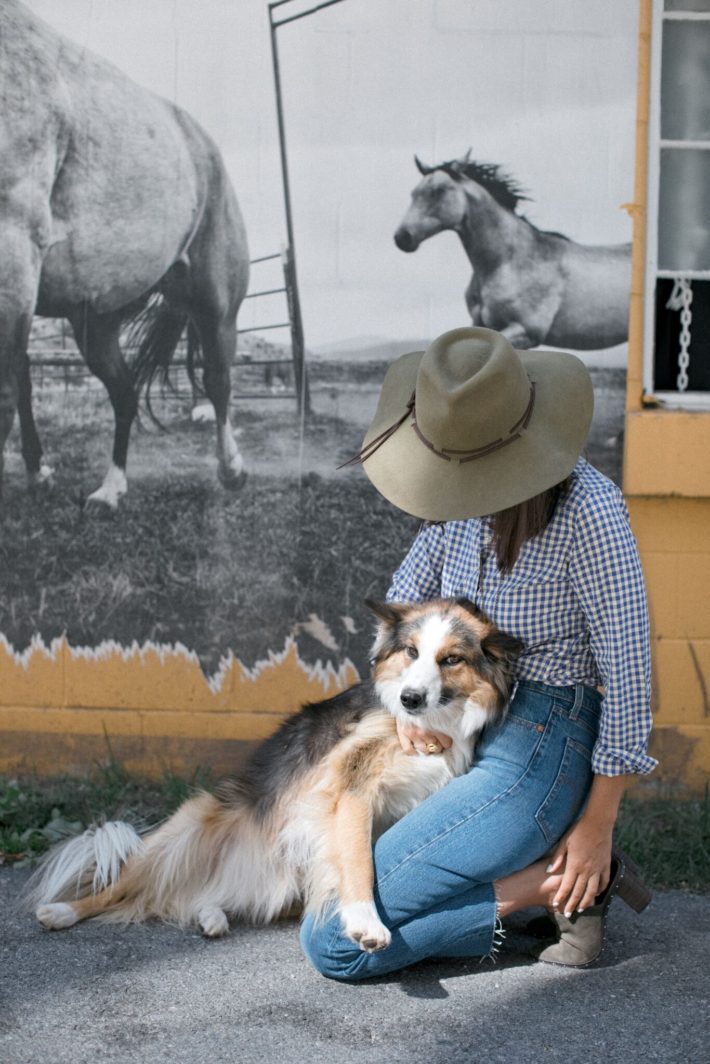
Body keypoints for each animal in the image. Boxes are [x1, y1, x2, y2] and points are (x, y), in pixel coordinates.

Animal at [0, 1, 250, 510]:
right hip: (95, 322)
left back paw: (231, 469)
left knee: (217, 380)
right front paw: (40, 473)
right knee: (125, 393)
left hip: (215, 305)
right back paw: (110, 487)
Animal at [27, 600, 521, 957]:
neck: (430, 726)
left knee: (197, 897)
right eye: (411, 652)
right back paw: (61, 911)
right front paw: (365, 921)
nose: (410, 699)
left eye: (451, 659)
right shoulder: (348, 788)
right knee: (120, 887)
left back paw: (211, 916)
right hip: (188, 826)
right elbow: (359, 860)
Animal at [393, 152, 634, 351]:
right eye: (414, 193)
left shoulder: (525, 331)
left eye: (438, 191)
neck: (507, 262)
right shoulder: (481, 325)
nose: (402, 237)